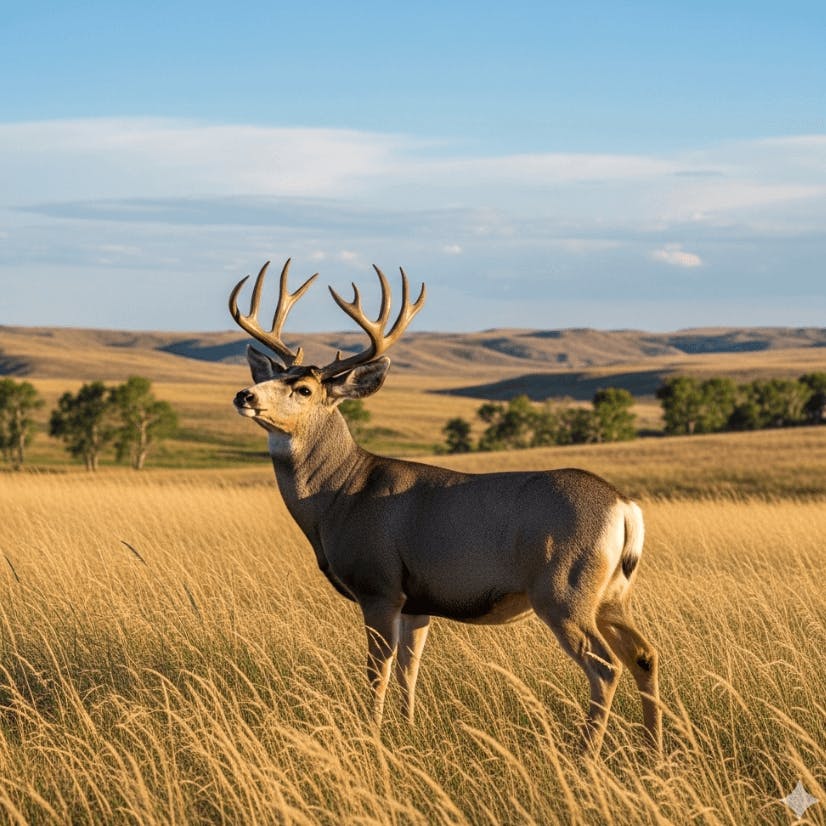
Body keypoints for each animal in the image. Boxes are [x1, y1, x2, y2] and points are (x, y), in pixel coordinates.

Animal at [229, 259, 662, 755]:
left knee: (605, 666)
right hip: (611, 594)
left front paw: (371, 734)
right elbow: (409, 669)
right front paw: (408, 728)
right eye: (267, 376)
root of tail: (624, 507)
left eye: (302, 389)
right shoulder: (416, 601)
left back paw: (585, 754)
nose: (245, 395)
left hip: (563, 589)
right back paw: (654, 750)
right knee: (644, 655)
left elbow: (377, 671)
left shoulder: (379, 585)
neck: (341, 494)